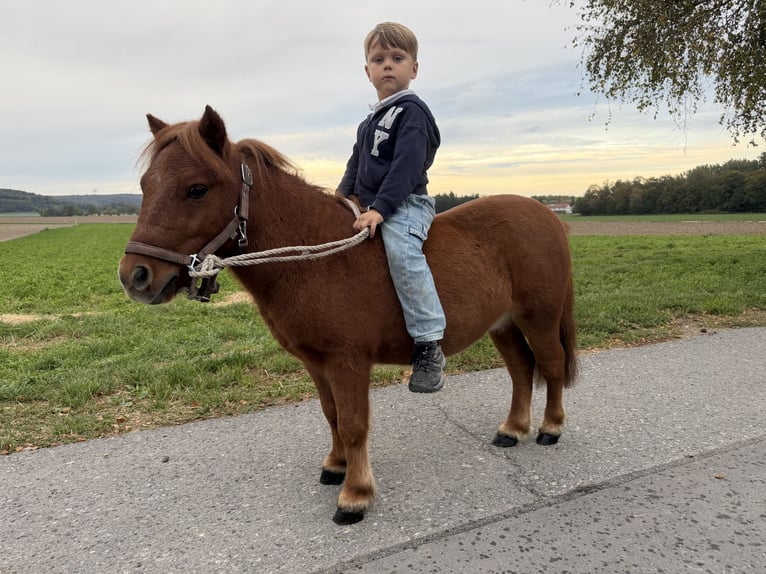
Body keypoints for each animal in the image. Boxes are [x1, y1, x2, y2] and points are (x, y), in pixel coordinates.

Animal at [119, 105, 578, 525]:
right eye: (145, 184)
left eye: (196, 189)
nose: (134, 276)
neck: (316, 258)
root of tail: (548, 216)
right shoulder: (316, 363)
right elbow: (332, 415)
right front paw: (336, 466)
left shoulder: (347, 361)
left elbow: (355, 423)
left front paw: (355, 495)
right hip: (504, 325)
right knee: (521, 370)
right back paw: (512, 429)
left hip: (538, 318)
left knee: (551, 365)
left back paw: (550, 428)